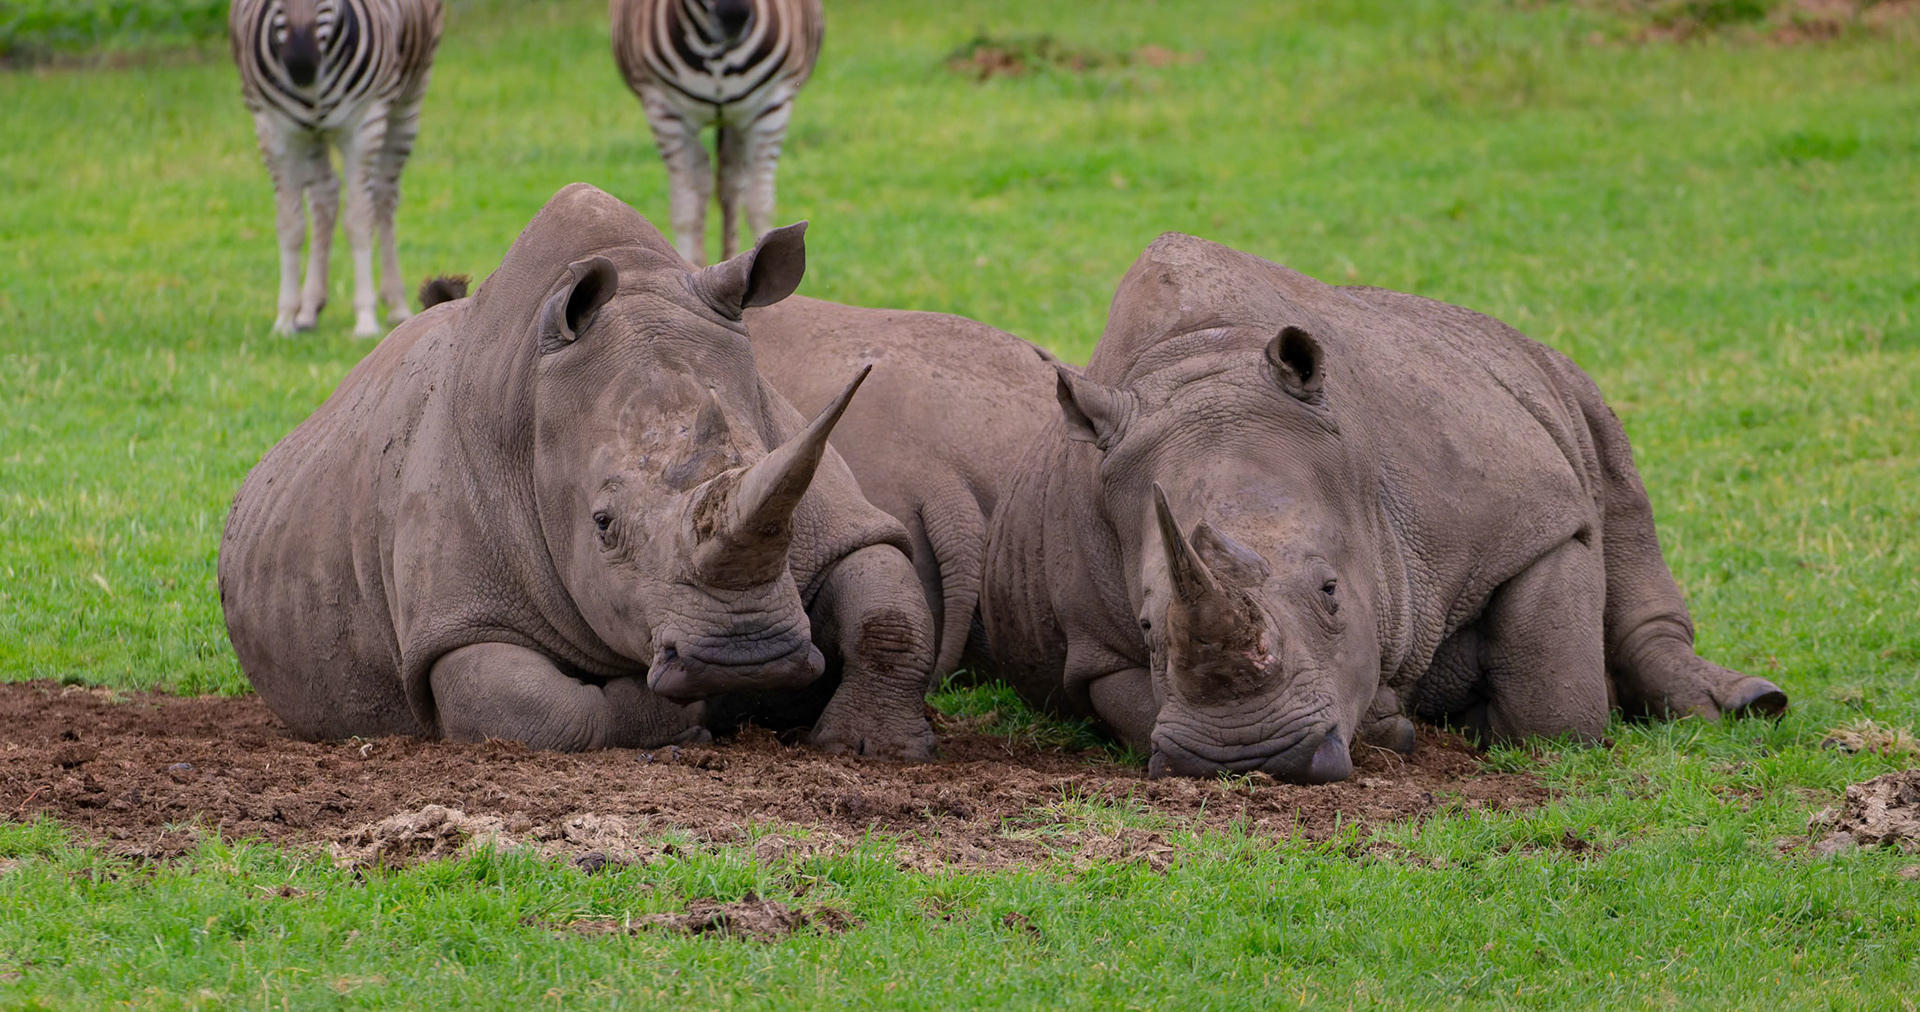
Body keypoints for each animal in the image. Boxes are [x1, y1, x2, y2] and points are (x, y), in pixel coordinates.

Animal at [218, 184, 937, 758]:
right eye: (602, 524)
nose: (746, 657)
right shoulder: (459, 619)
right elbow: (539, 710)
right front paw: (680, 720)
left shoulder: (827, 499)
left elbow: (887, 604)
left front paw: (874, 749)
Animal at [978, 233, 1787, 781]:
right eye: (1148, 625)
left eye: (1332, 591)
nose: (1251, 758)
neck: (1202, 359)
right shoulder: (1097, 645)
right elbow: (1141, 710)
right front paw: (1392, 724)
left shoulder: (1530, 522)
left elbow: (1553, 701)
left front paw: (1483, 723)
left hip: (1552, 376)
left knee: (1620, 498)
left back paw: (1750, 705)